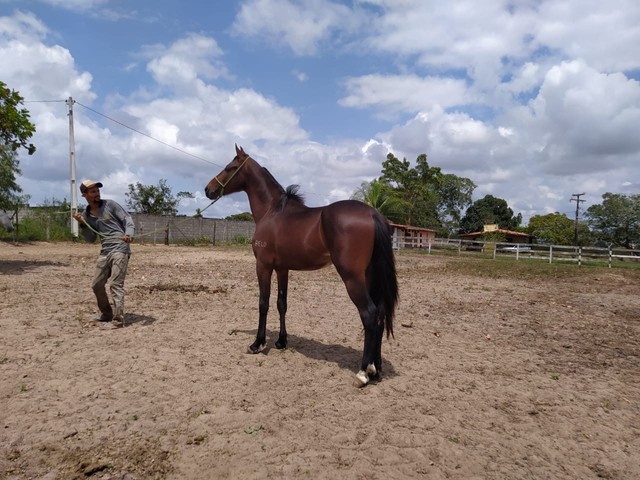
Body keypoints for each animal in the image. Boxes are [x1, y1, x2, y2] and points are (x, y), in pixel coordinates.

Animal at [205, 145, 398, 386]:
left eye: (229, 167)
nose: (208, 189)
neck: (272, 211)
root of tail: (373, 213)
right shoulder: (282, 268)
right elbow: (282, 304)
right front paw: (281, 341)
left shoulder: (263, 266)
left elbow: (263, 303)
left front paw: (257, 344)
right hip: (370, 276)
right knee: (380, 315)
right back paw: (376, 370)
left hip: (352, 278)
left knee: (370, 315)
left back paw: (363, 372)